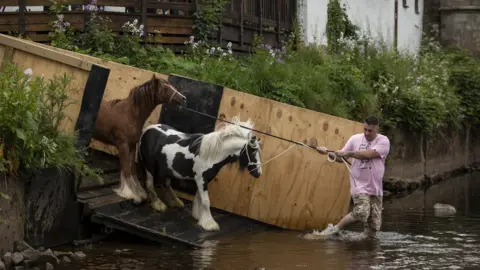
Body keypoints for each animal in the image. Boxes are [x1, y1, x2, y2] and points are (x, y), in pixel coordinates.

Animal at [93, 74, 187, 202]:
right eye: (165, 88)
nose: (183, 98)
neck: (130, 115)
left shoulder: (132, 146)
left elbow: (132, 169)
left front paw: (139, 192)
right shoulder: (123, 145)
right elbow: (126, 169)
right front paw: (128, 193)